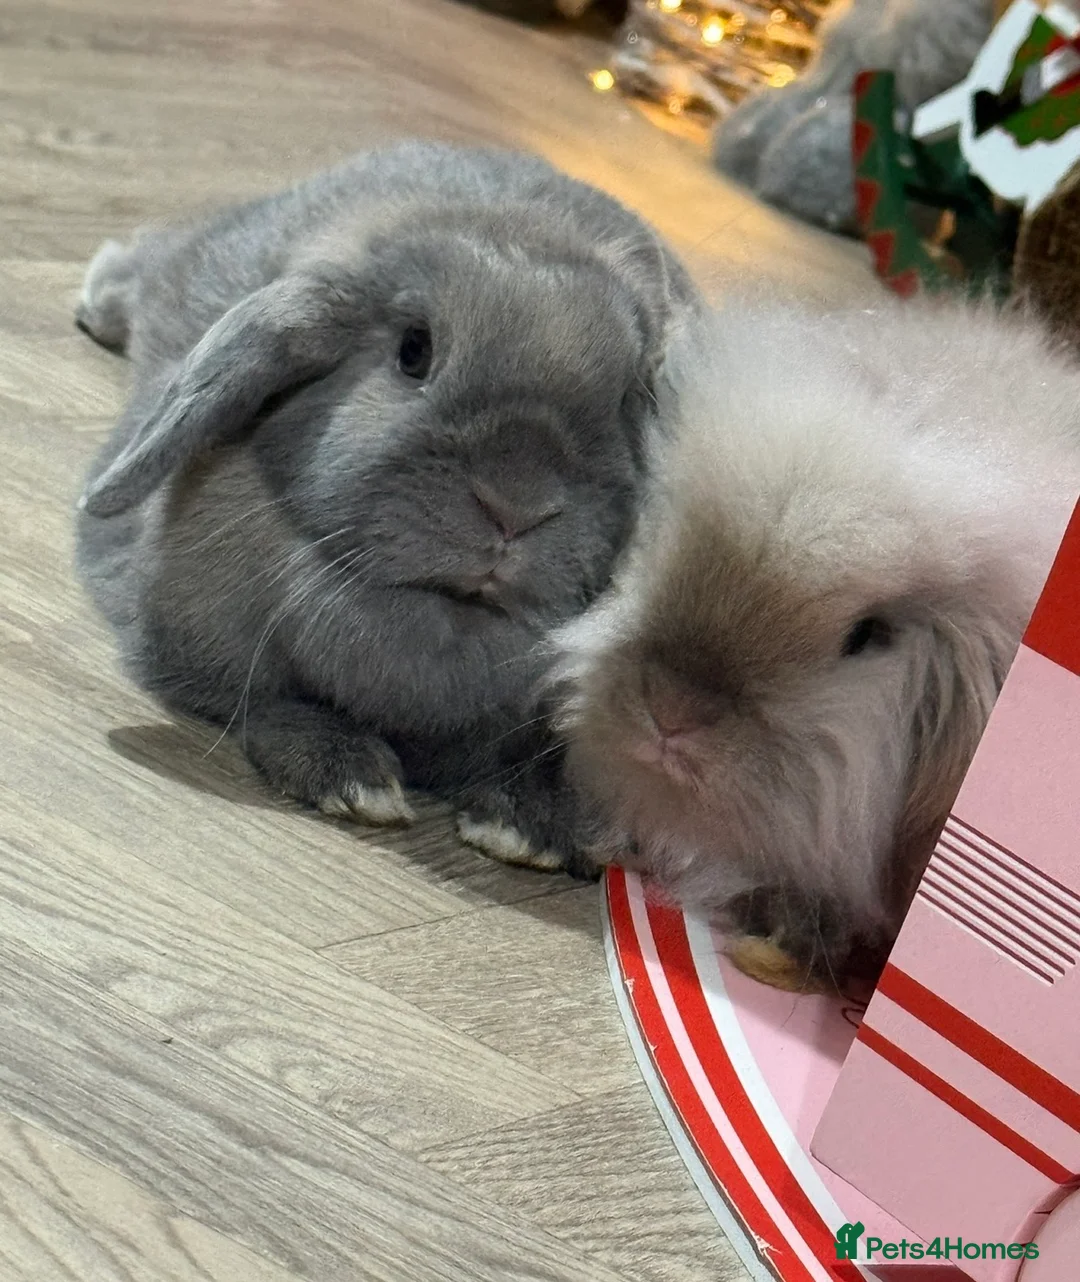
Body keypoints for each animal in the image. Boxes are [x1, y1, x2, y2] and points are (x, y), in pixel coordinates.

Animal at [74, 140, 700, 854]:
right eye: (414, 351)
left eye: (628, 402)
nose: (515, 508)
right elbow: (266, 707)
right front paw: (351, 778)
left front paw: (524, 827)